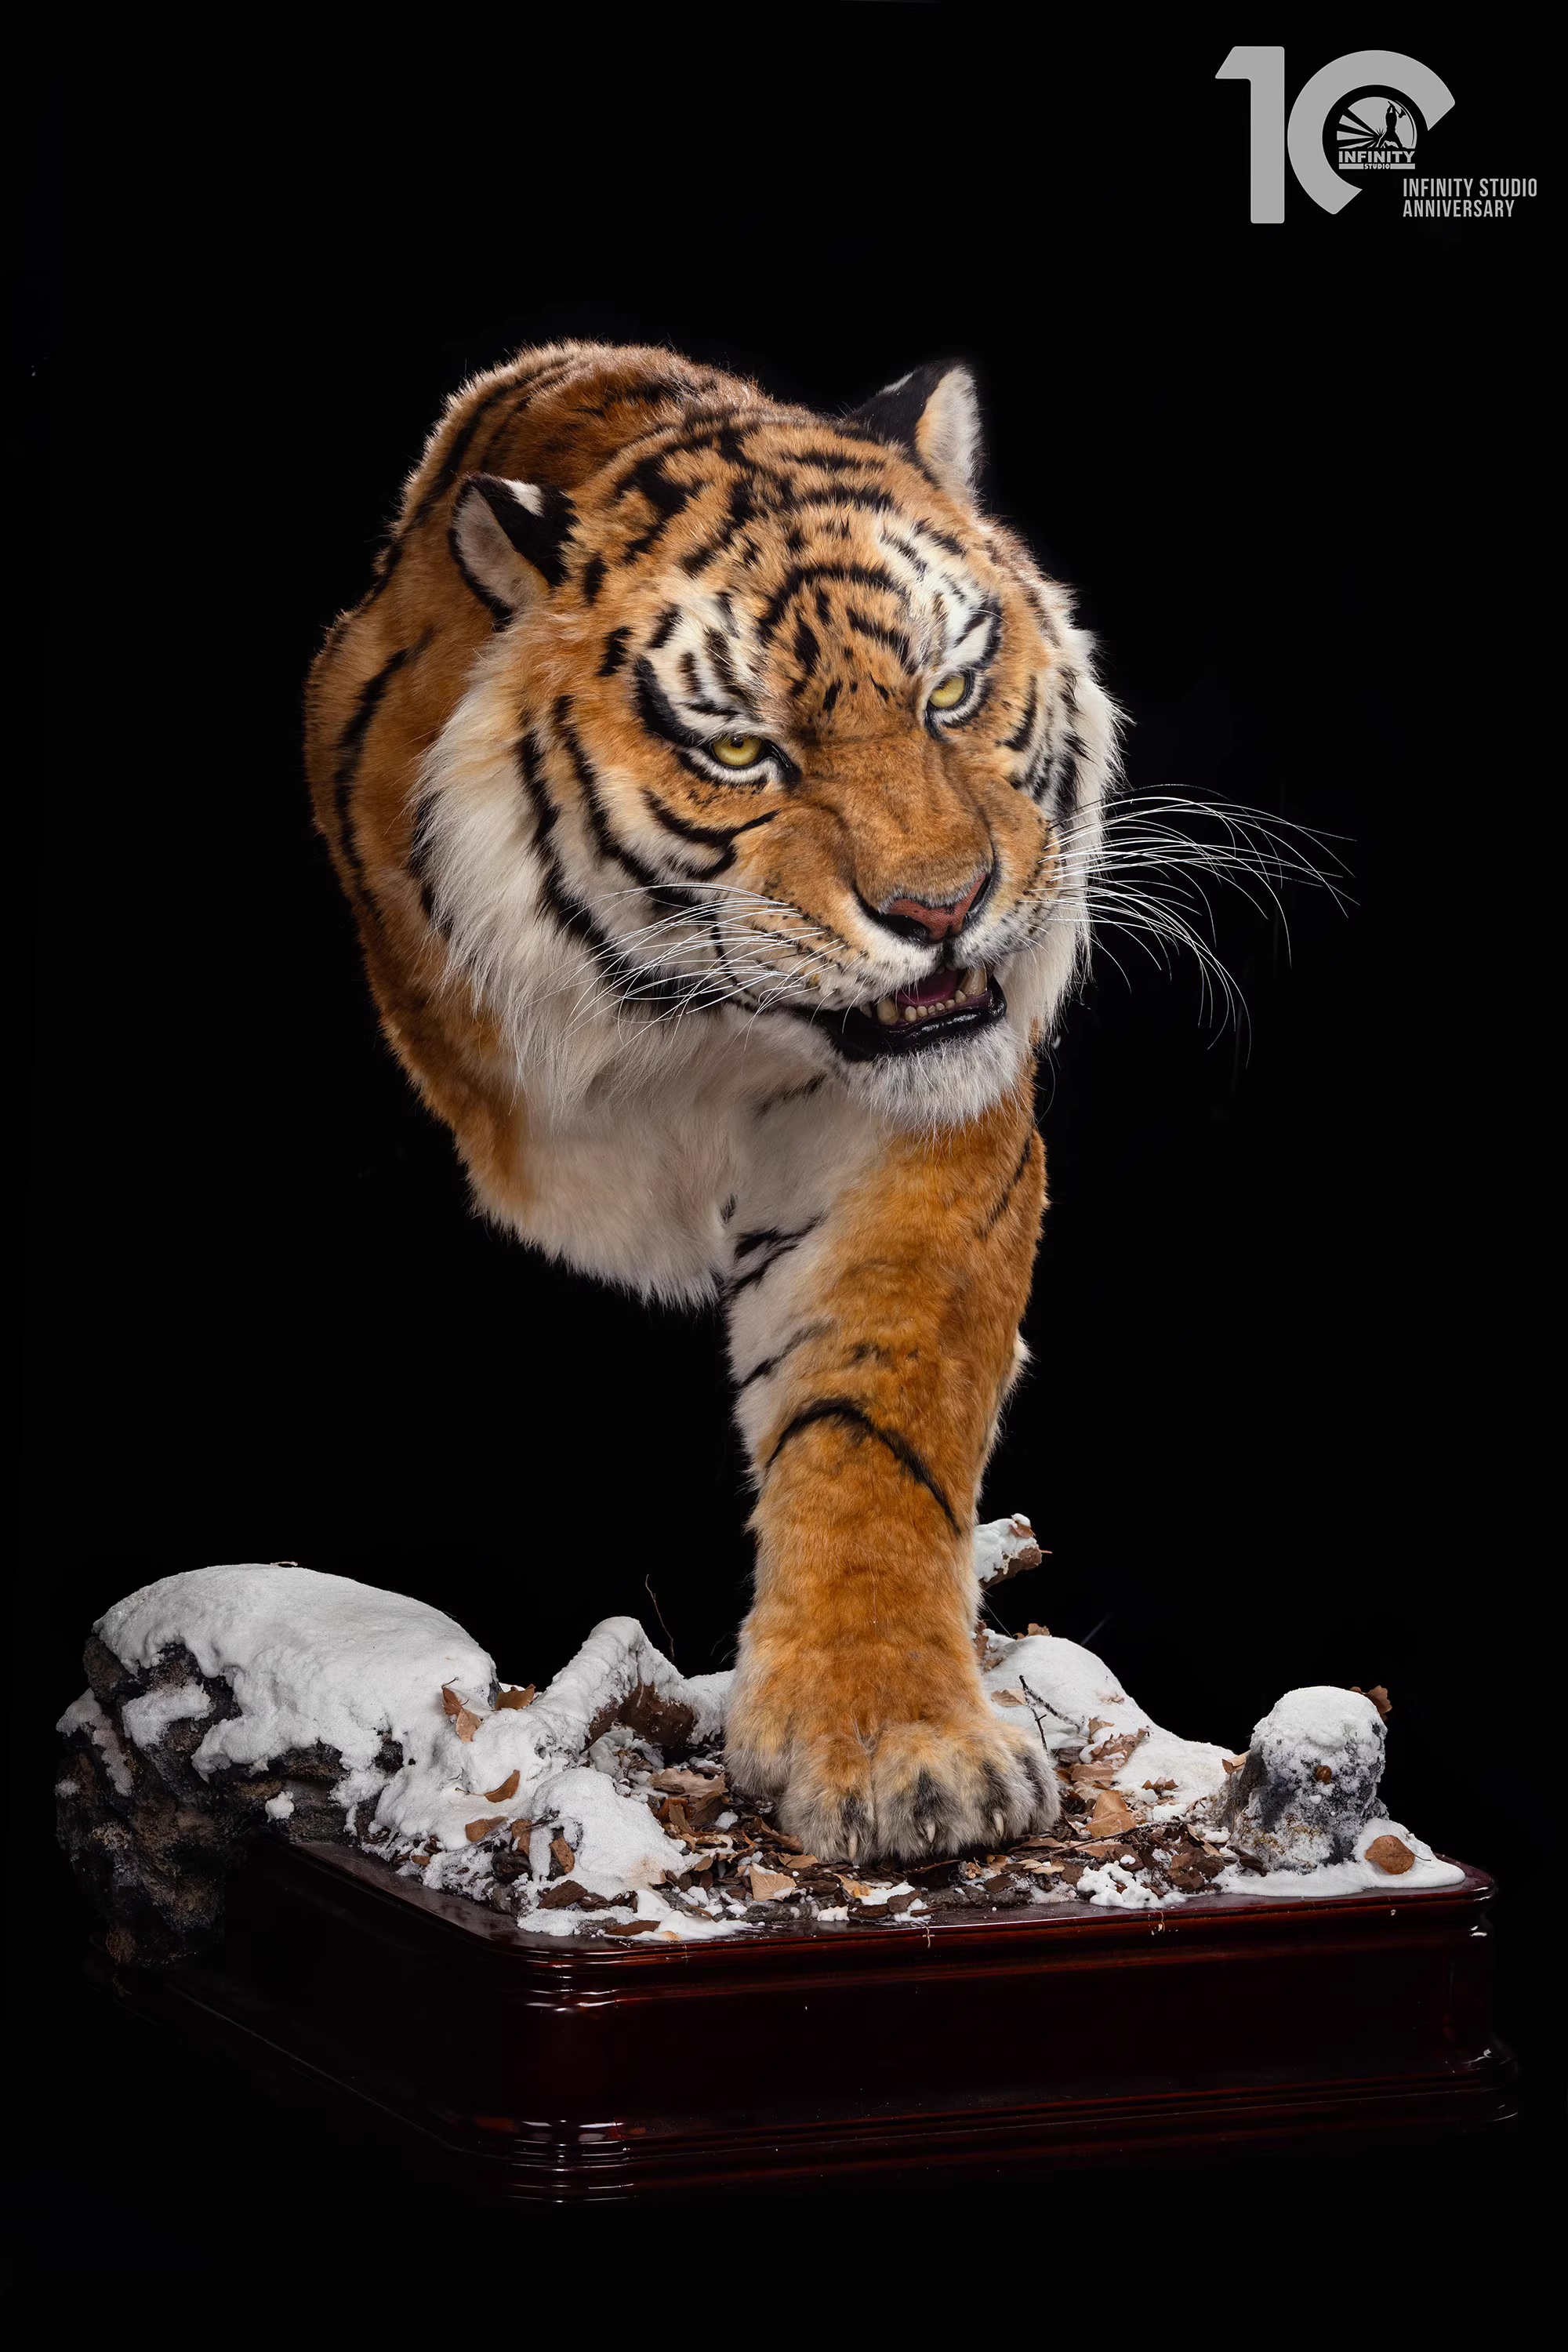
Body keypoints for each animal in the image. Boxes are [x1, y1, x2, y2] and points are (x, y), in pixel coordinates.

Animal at [305, 340, 1119, 1865]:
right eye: (744, 755)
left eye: (951, 693)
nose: (943, 910)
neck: (691, 1039)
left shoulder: (908, 1147)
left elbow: (873, 1432)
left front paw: (899, 1752)